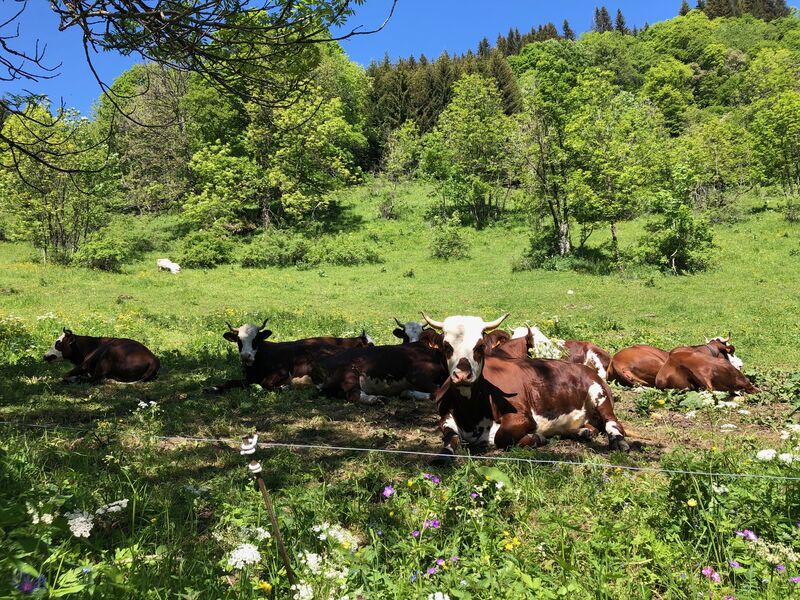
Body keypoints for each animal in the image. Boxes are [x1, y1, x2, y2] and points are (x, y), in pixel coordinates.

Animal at [206, 320, 372, 393]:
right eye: (239, 340)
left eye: (256, 339)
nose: (246, 356)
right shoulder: (248, 378)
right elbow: (230, 382)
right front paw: (214, 387)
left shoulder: (282, 371)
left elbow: (265, 383)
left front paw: (283, 387)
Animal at [422, 313, 629, 462]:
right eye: (446, 346)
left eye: (479, 346)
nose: (462, 375)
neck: (472, 415)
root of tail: (584, 369)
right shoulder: (446, 417)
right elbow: (451, 437)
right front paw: (443, 454)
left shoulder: (524, 417)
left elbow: (501, 436)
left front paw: (536, 438)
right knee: (590, 427)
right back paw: (581, 431)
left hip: (599, 394)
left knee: (613, 423)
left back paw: (619, 442)